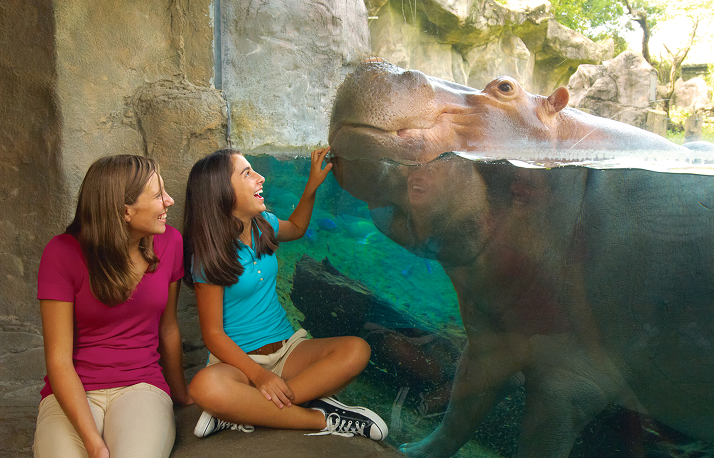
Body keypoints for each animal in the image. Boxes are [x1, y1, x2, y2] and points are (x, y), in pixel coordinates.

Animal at [327, 60, 714, 458]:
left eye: (505, 87)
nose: (380, 65)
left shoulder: (568, 382)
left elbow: (534, 441)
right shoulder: (490, 344)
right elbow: (458, 413)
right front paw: (412, 450)